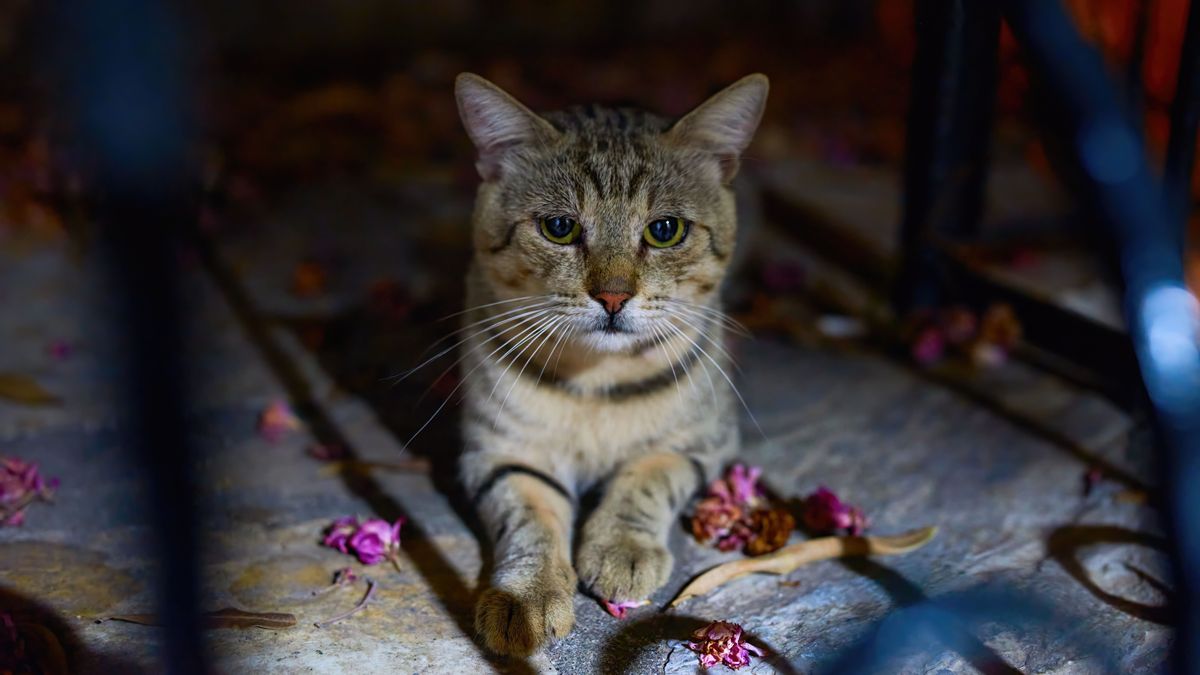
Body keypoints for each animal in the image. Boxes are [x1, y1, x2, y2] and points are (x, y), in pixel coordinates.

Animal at [451, 72, 768, 653]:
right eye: (559, 226)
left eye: (665, 230)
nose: (614, 297)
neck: (597, 380)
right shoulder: (500, 453)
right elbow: (529, 518)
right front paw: (525, 597)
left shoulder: (700, 444)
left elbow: (645, 478)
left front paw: (622, 548)